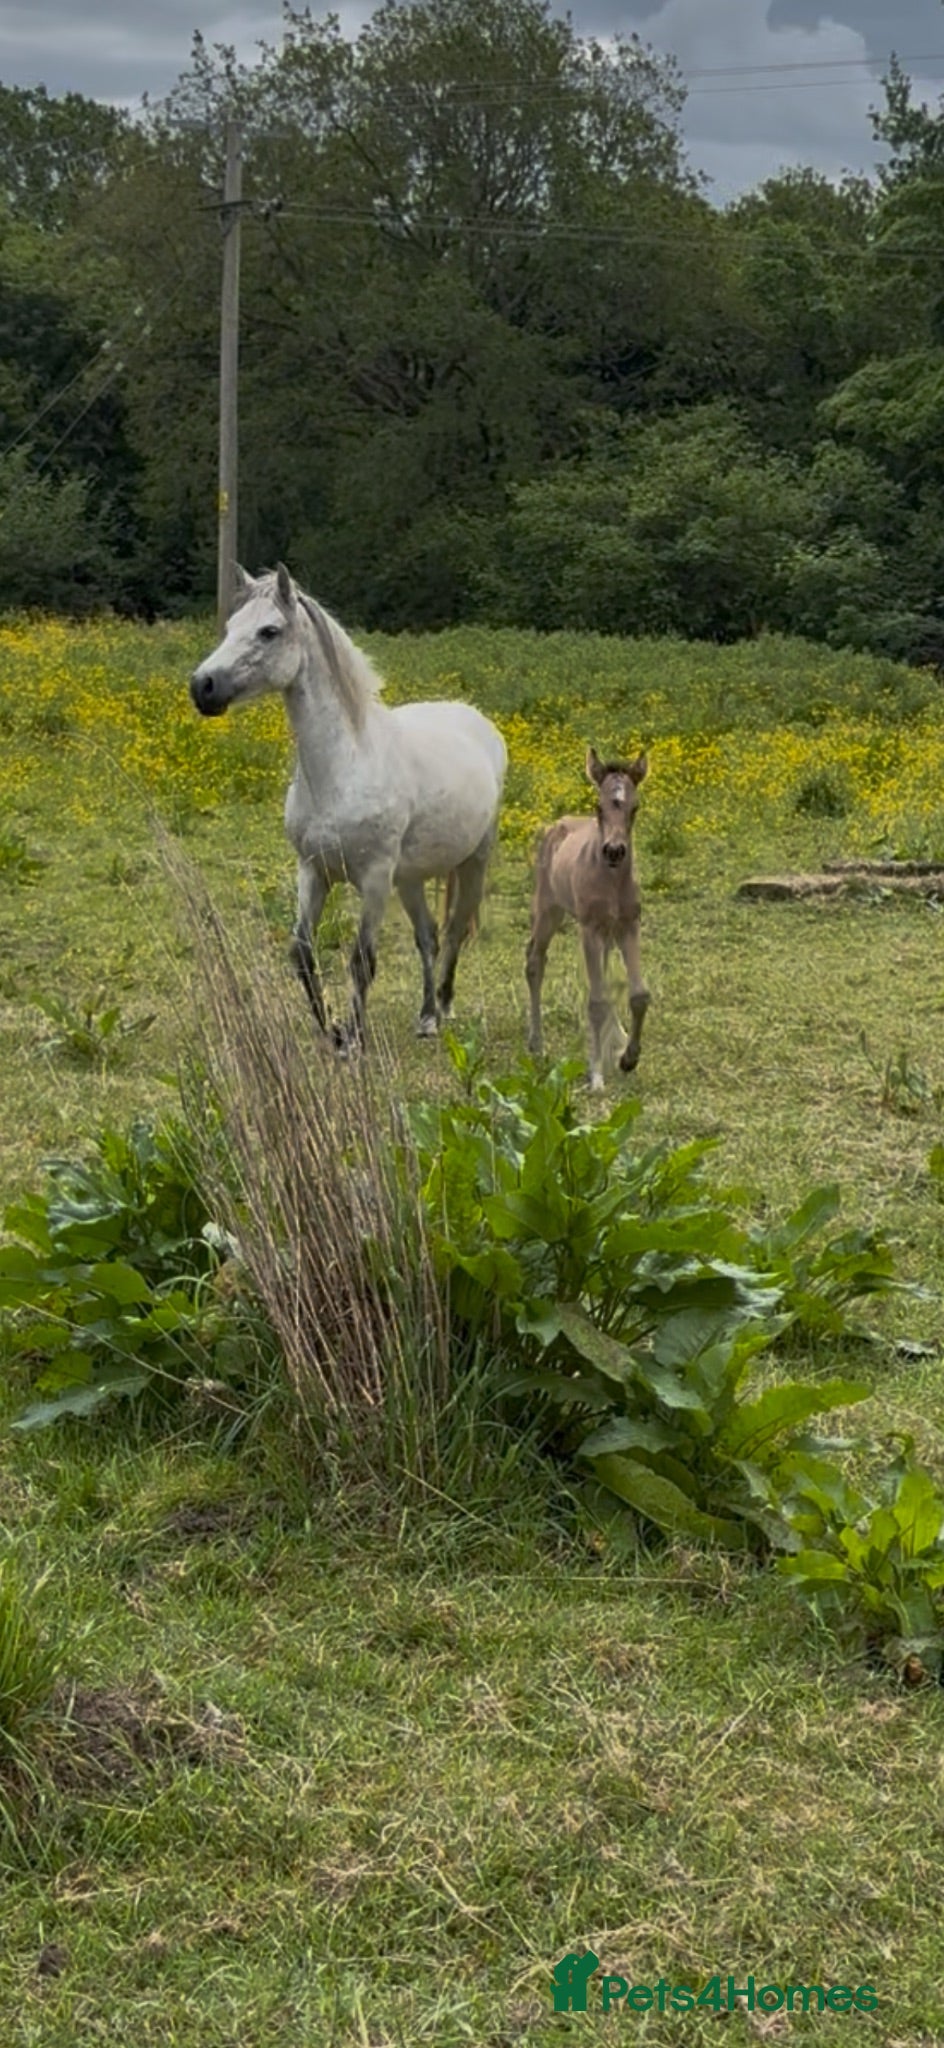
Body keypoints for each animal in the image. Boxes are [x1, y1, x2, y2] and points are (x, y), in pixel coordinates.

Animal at [190, 563, 506, 1049]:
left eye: (269, 631)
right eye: (230, 627)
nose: (202, 687)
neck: (344, 768)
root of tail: (475, 719)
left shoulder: (374, 879)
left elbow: (362, 960)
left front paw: (354, 1038)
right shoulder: (312, 871)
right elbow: (302, 953)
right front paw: (332, 1030)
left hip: (473, 860)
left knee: (455, 929)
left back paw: (444, 1008)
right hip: (410, 878)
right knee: (429, 937)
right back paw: (426, 1016)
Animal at [526, 747, 650, 1091]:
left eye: (635, 808)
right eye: (599, 806)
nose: (614, 851)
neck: (611, 881)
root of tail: (556, 824)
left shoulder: (628, 926)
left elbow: (638, 996)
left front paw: (628, 1058)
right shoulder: (590, 929)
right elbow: (596, 1001)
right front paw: (595, 1076)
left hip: (606, 932)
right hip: (548, 910)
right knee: (534, 961)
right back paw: (537, 1044)